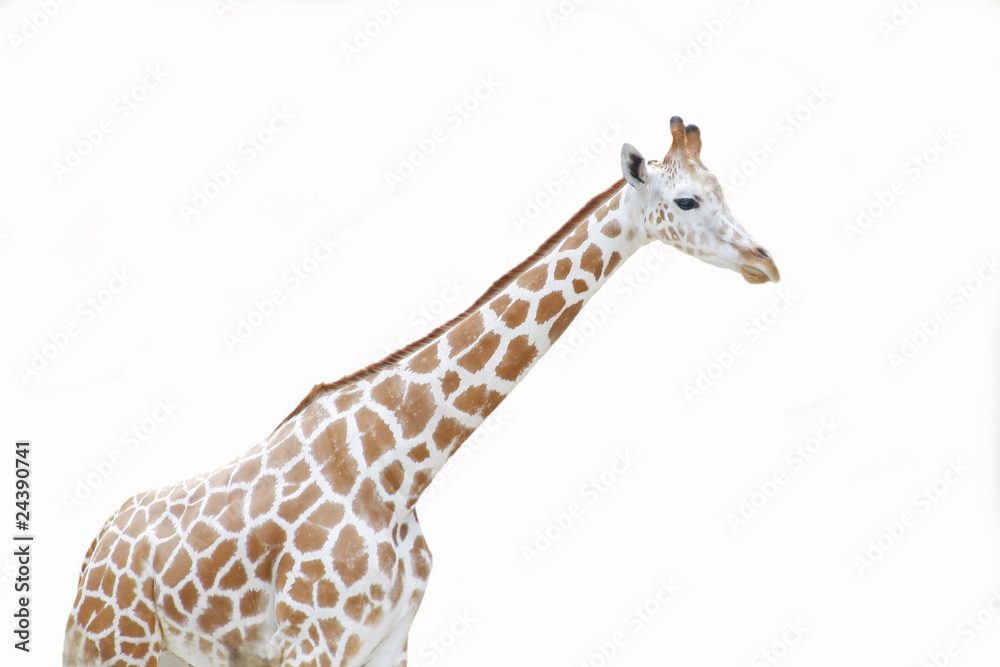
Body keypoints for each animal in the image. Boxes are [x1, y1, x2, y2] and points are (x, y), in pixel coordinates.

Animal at [64, 117, 779, 667]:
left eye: (721, 189)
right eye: (686, 202)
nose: (764, 262)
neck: (398, 468)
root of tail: (94, 549)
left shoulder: (388, 642)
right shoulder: (313, 642)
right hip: (117, 645)